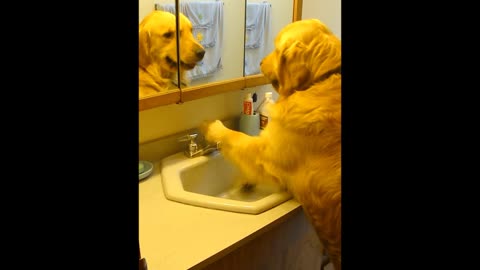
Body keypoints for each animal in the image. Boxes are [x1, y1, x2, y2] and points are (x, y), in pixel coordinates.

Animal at [201, 19, 344, 270]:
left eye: (277, 49)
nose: (259, 62)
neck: (321, 80)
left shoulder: (266, 154)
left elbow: (237, 138)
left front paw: (213, 127)